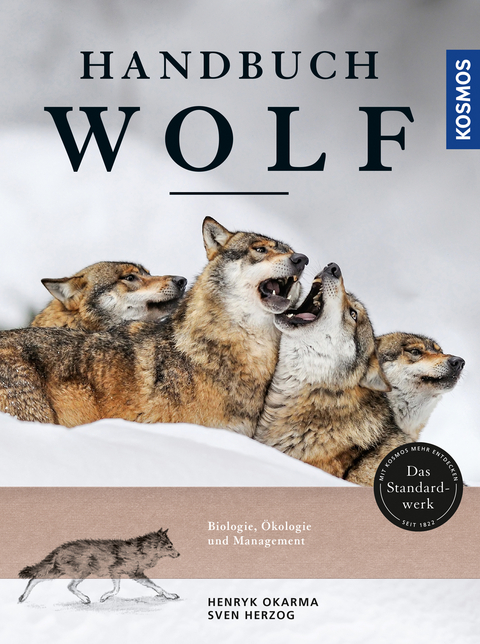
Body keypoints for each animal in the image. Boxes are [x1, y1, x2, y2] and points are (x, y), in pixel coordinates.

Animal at [18, 528, 179, 604]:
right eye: (170, 546)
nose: (179, 554)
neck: (142, 550)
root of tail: (59, 548)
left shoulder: (135, 574)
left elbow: (157, 587)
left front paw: (169, 595)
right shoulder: (117, 571)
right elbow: (117, 589)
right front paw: (104, 597)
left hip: (56, 571)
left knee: (34, 579)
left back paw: (22, 597)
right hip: (81, 572)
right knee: (69, 586)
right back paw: (84, 599)